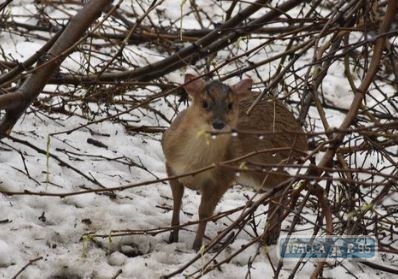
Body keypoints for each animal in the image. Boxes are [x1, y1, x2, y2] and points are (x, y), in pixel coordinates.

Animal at [162, 74, 308, 252]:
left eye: (230, 105)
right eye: (205, 103)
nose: (218, 124)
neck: (194, 164)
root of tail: (302, 139)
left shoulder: (222, 178)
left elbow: (204, 212)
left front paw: (197, 246)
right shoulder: (171, 167)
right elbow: (176, 202)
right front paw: (172, 237)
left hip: (262, 160)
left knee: (284, 181)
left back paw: (271, 235)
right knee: (281, 184)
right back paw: (270, 235)